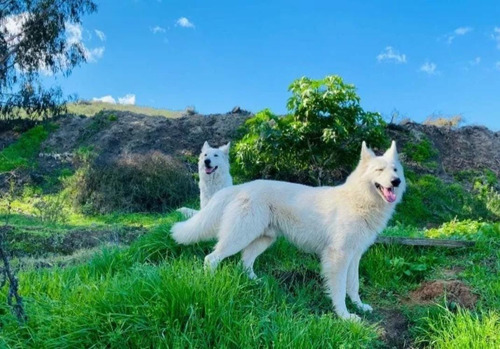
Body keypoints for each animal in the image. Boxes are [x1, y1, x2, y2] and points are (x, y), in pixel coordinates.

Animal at [170, 140, 404, 320]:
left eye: (394, 169)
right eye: (379, 170)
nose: (396, 181)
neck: (359, 200)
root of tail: (240, 187)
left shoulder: (354, 256)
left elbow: (353, 286)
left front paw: (359, 306)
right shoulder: (338, 257)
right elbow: (339, 290)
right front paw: (345, 316)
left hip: (263, 239)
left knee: (245, 262)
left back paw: (257, 282)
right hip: (238, 238)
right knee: (212, 258)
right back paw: (209, 283)